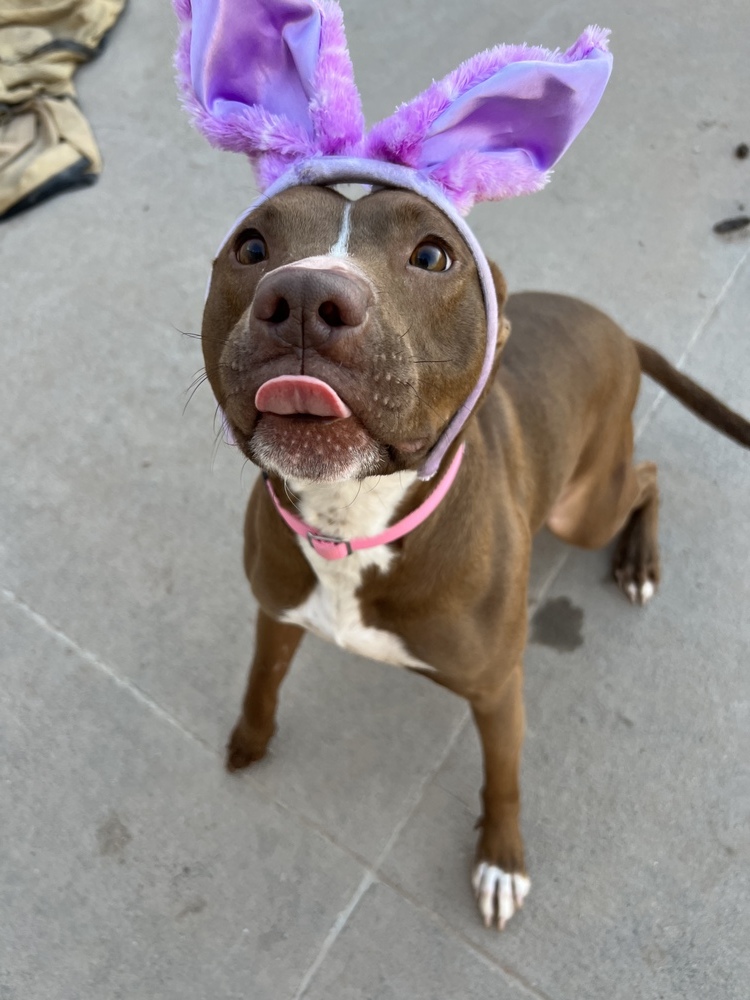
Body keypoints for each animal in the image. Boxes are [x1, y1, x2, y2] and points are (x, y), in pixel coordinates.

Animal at [198, 178, 750, 928]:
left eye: (433, 254)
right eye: (251, 246)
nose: (306, 297)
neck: (353, 522)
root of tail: (619, 330)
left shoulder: (496, 688)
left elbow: (503, 777)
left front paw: (501, 859)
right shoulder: (277, 610)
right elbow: (263, 677)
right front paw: (250, 739)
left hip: (584, 510)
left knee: (647, 476)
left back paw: (637, 562)